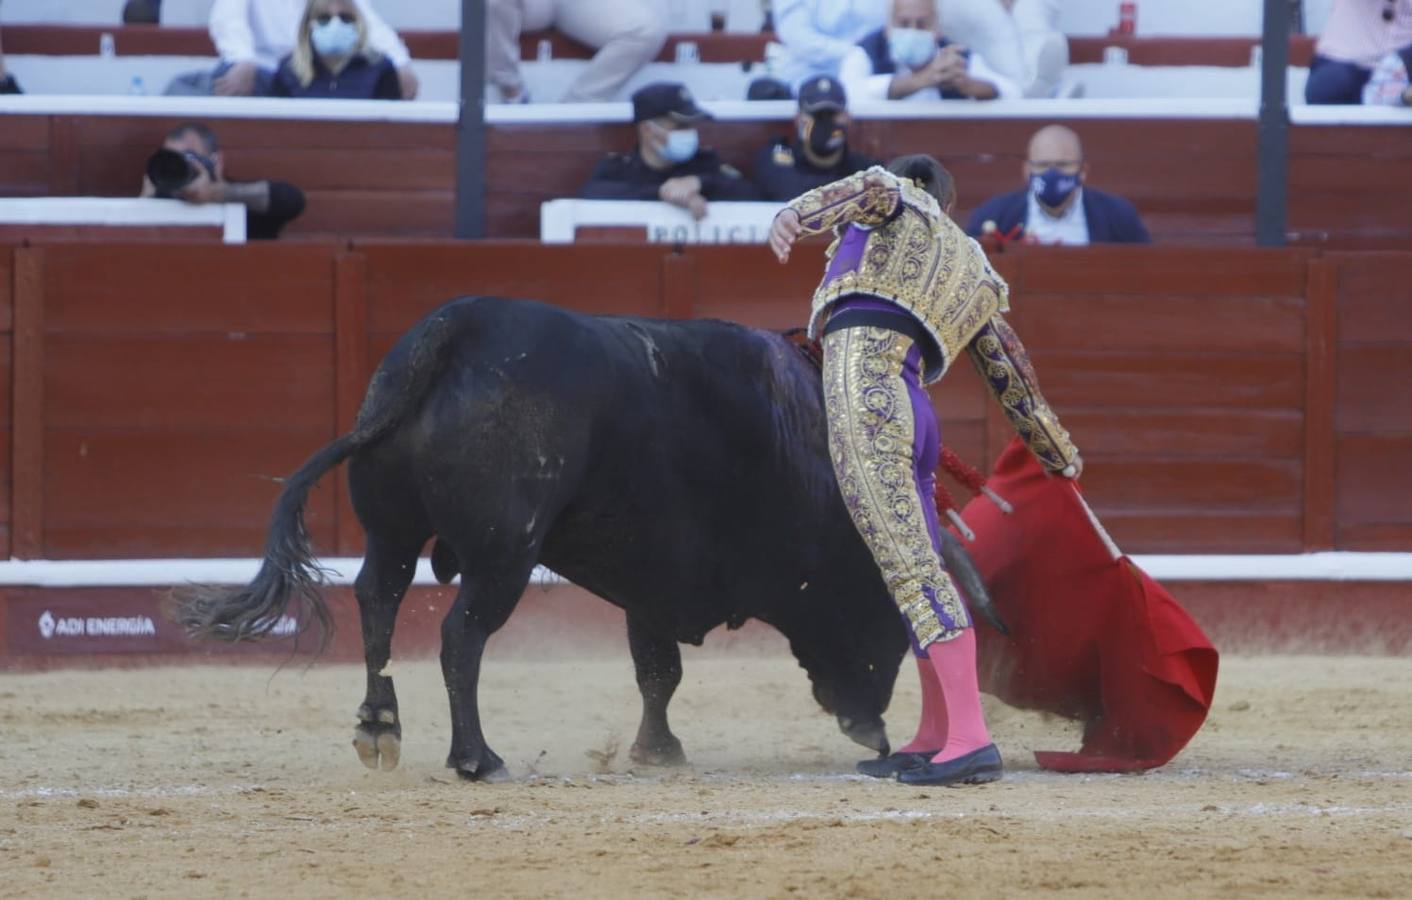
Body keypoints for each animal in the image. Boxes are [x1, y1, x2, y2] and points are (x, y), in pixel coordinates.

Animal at [173, 295, 994, 779]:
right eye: (887, 619)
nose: (876, 735)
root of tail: (448, 332)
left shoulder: (649, 579)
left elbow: (656, 671)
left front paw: (655, 751)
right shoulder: (663, 573)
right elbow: (661, 668)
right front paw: (658, 751)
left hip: (392, 530)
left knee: (378, 600)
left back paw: (380, 727)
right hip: (503, 556)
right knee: (461, 636)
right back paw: (477, 757)